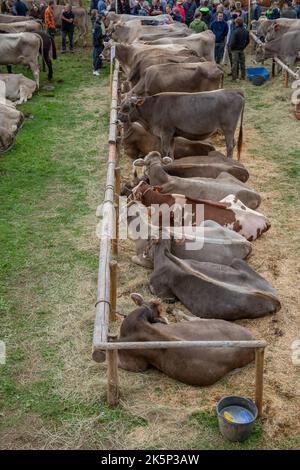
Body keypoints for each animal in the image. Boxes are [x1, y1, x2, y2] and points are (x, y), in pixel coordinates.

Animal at [117, 294, 255, 386]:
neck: (138, 323)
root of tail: (252, 339)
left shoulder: (135, 363)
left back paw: (175, 311)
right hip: (216, 323)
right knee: (197, 318)